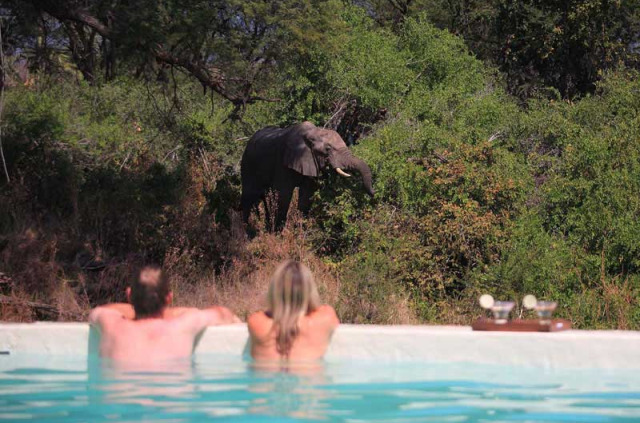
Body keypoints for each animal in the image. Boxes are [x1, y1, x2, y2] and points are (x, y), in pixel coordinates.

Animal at [240, 121, 372, 230]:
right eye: (328, 149)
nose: (372, 194)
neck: (313, 133)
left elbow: (306, 195)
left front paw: (299, 231)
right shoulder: (283, 162)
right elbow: (284, 195)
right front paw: (277, 234)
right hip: (247, 162)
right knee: (248, 195)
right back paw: (246, 232)